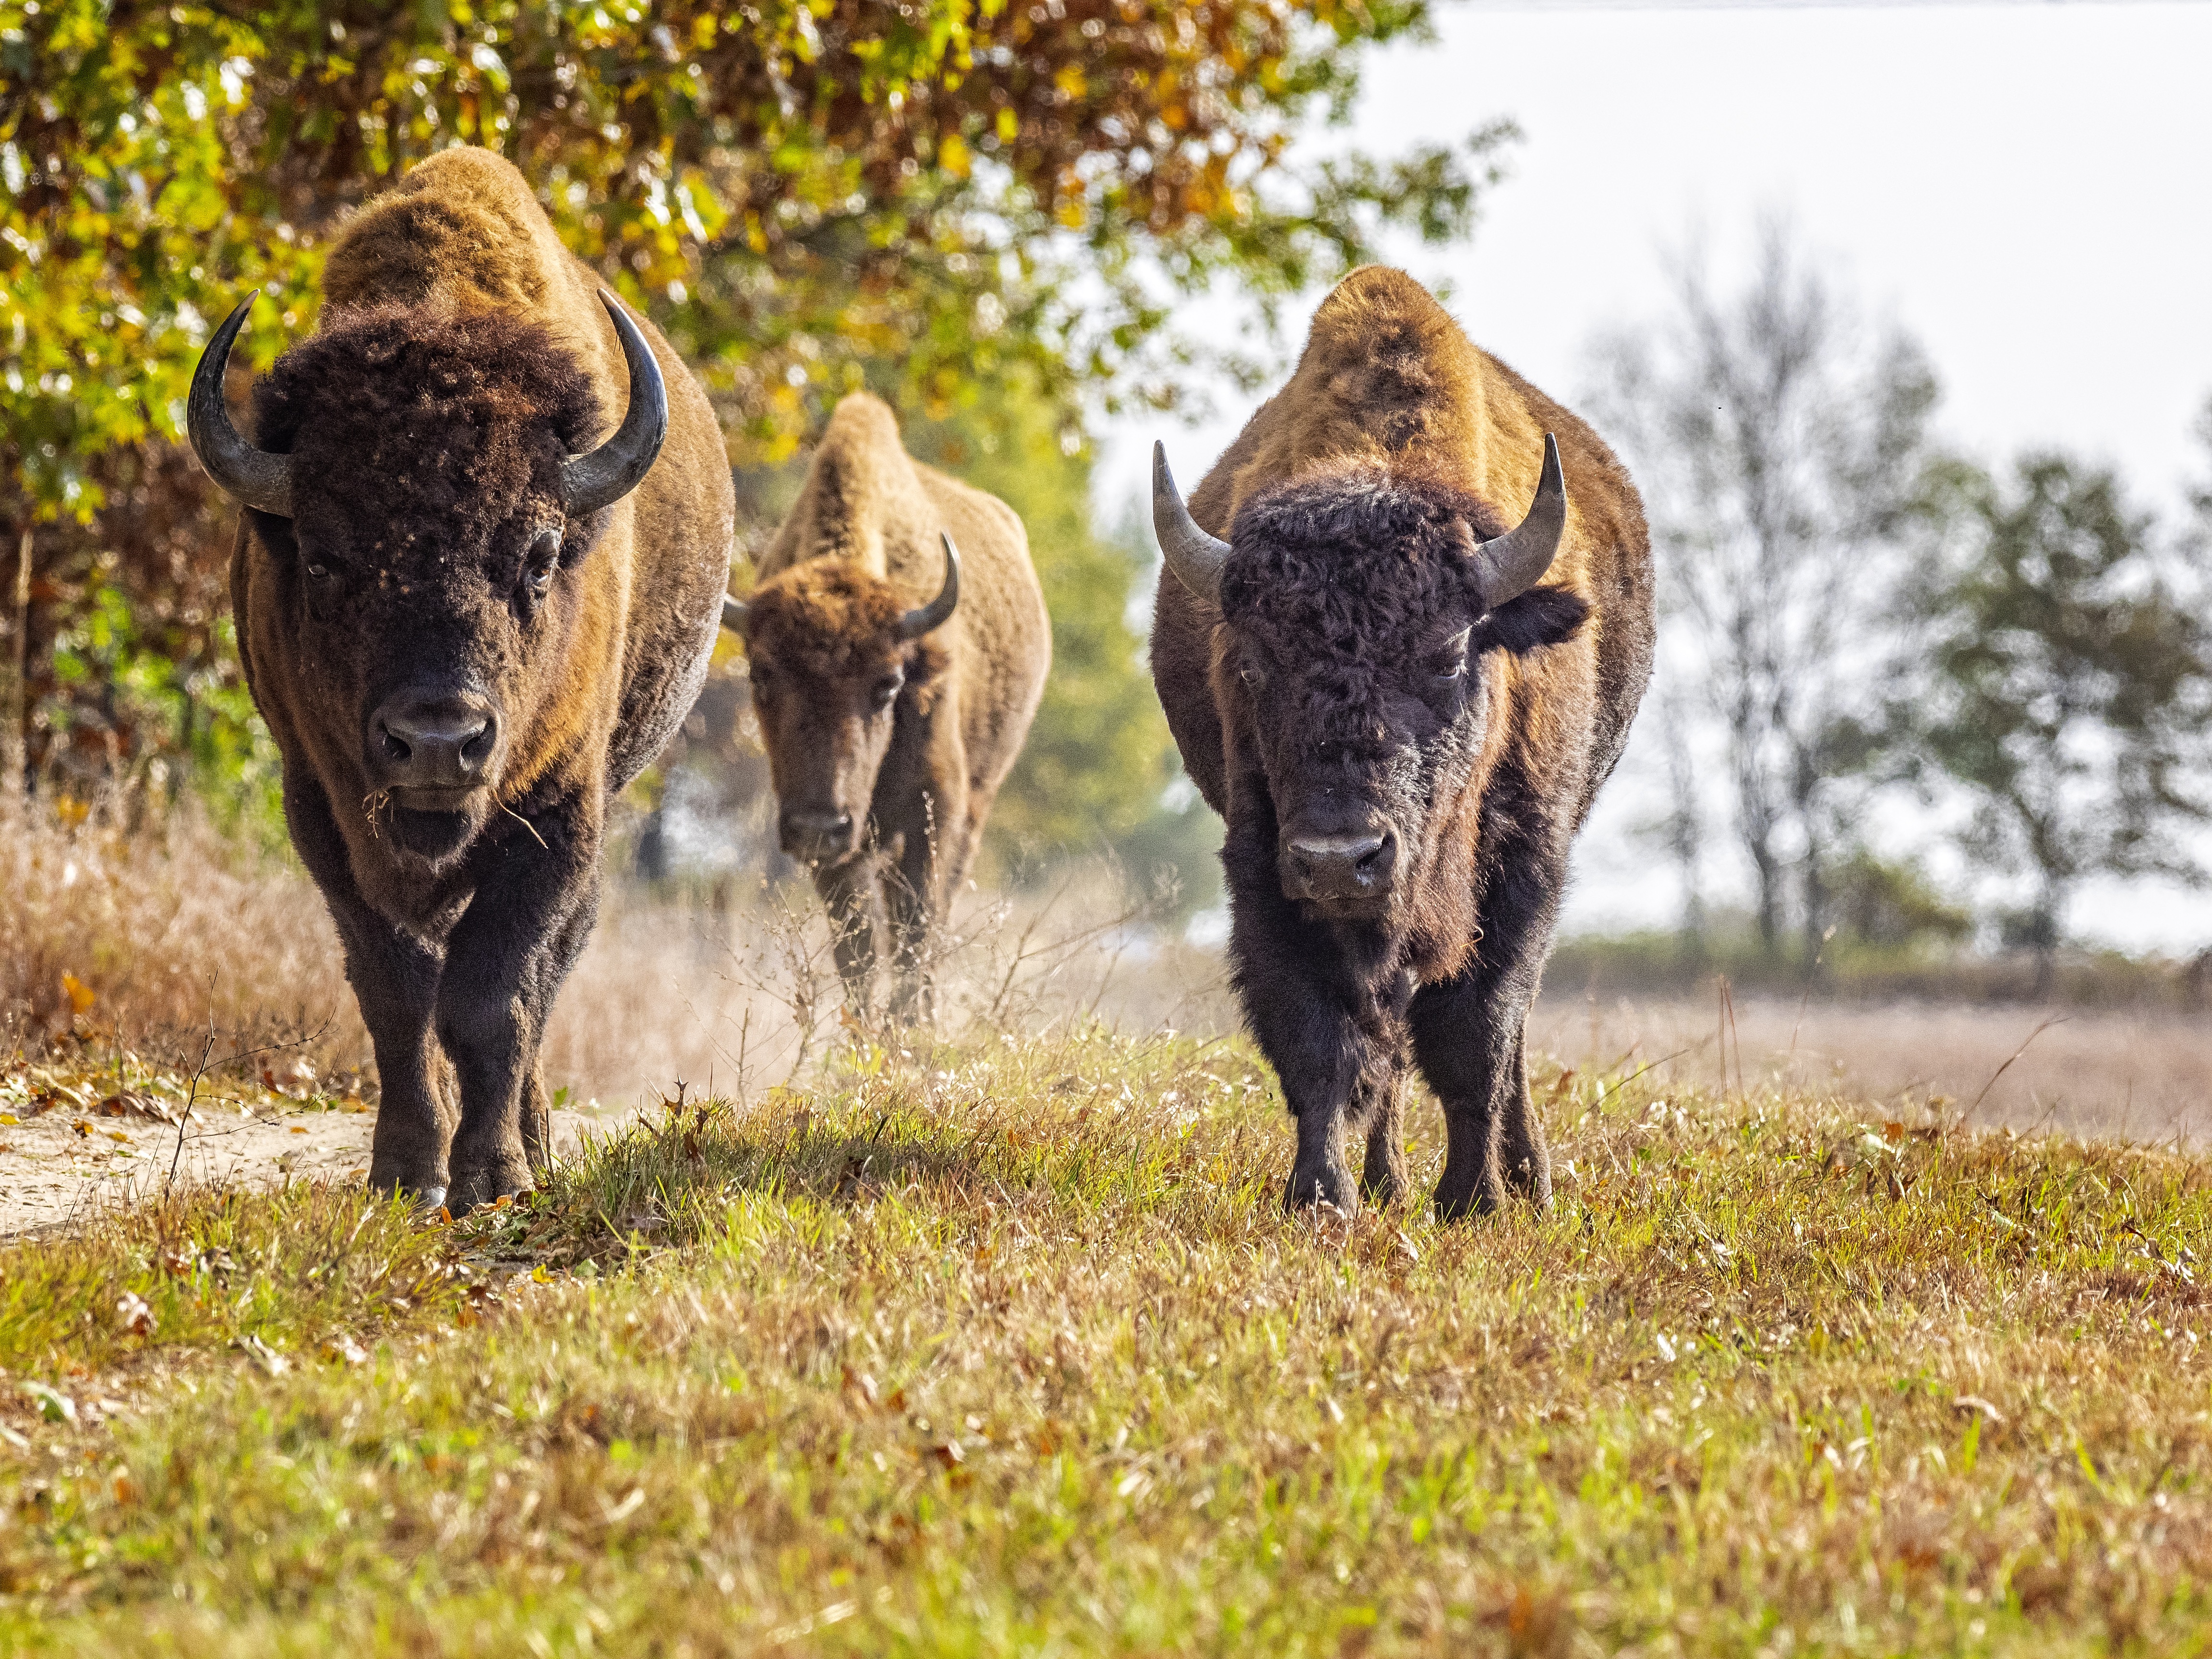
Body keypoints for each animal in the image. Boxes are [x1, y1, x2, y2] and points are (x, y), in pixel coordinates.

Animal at [186, 149, 730, 1212]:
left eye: (540, 552)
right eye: (323, 556)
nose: (437, 741)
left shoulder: (558, 814)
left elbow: (494, 994)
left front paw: (495, 1177)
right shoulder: (320, 808)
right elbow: (396, 992)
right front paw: (406, 1173)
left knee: (544, 976)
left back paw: (536, 1145)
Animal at [716, 396, 1044, 1022]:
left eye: (890, 683)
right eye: (761, 672)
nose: (819, 825)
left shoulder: (931, 818)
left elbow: (914, 942)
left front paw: (910, 1033)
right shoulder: (835, 851)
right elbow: (860, 956)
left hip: (975, 807)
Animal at [1150, 270, 1654, 1221]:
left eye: (1448, 654)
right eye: (1253, 662)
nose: (1339, 857)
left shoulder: (1524, 866)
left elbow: (1477, 1036)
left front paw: (1475, 1199)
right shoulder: (1265, 871)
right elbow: (1320, 1043)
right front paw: (1323, 1197)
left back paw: (1525, 1179)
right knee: (1380, 1044)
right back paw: (1386, 1182)